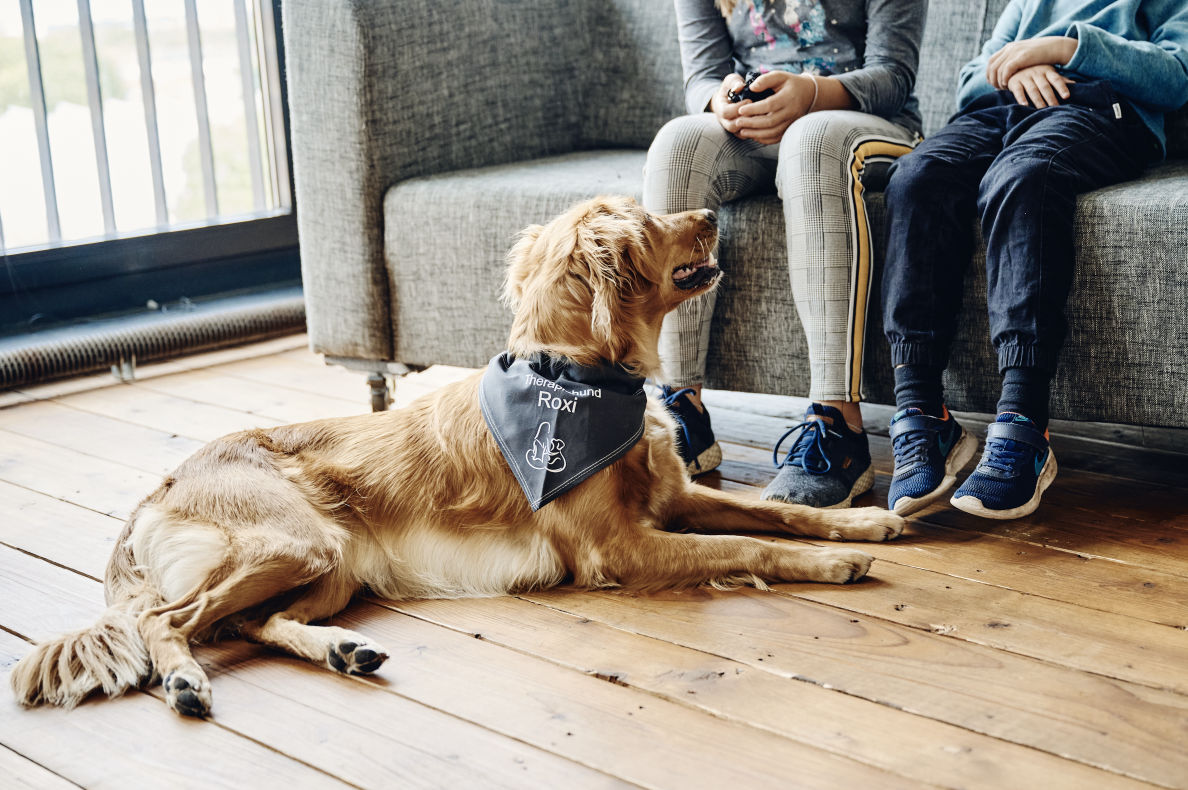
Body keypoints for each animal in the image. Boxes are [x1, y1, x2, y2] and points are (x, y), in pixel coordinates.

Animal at [9, 196, 902, 712]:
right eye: (649, 222)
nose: (715, 210)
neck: (575, 375)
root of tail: (159, 488)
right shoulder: (620, 547)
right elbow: (746, 543)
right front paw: (833, 567)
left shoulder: (675, 498)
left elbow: (773, 511)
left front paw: (863, 525)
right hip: (295, 541)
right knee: (169, 620)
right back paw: (184, 680)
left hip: (329, 566)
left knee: (255, 624)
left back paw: (343, 650)